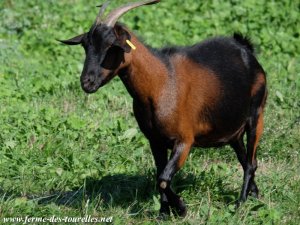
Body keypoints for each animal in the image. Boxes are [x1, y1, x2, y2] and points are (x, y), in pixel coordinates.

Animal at [58, 0, 268, 218]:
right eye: (86, 45)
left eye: (111, 45)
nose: (87, 82)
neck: (161, 84)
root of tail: (245, 49)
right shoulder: (155, 140)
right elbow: (160, 175)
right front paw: (164, 212)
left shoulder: (184, 141)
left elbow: (164, 179)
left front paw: (181, 208)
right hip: (233, 131)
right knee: (245, 159)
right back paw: (254, 195)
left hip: (256, 116)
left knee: (251, 162)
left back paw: (240, 203)